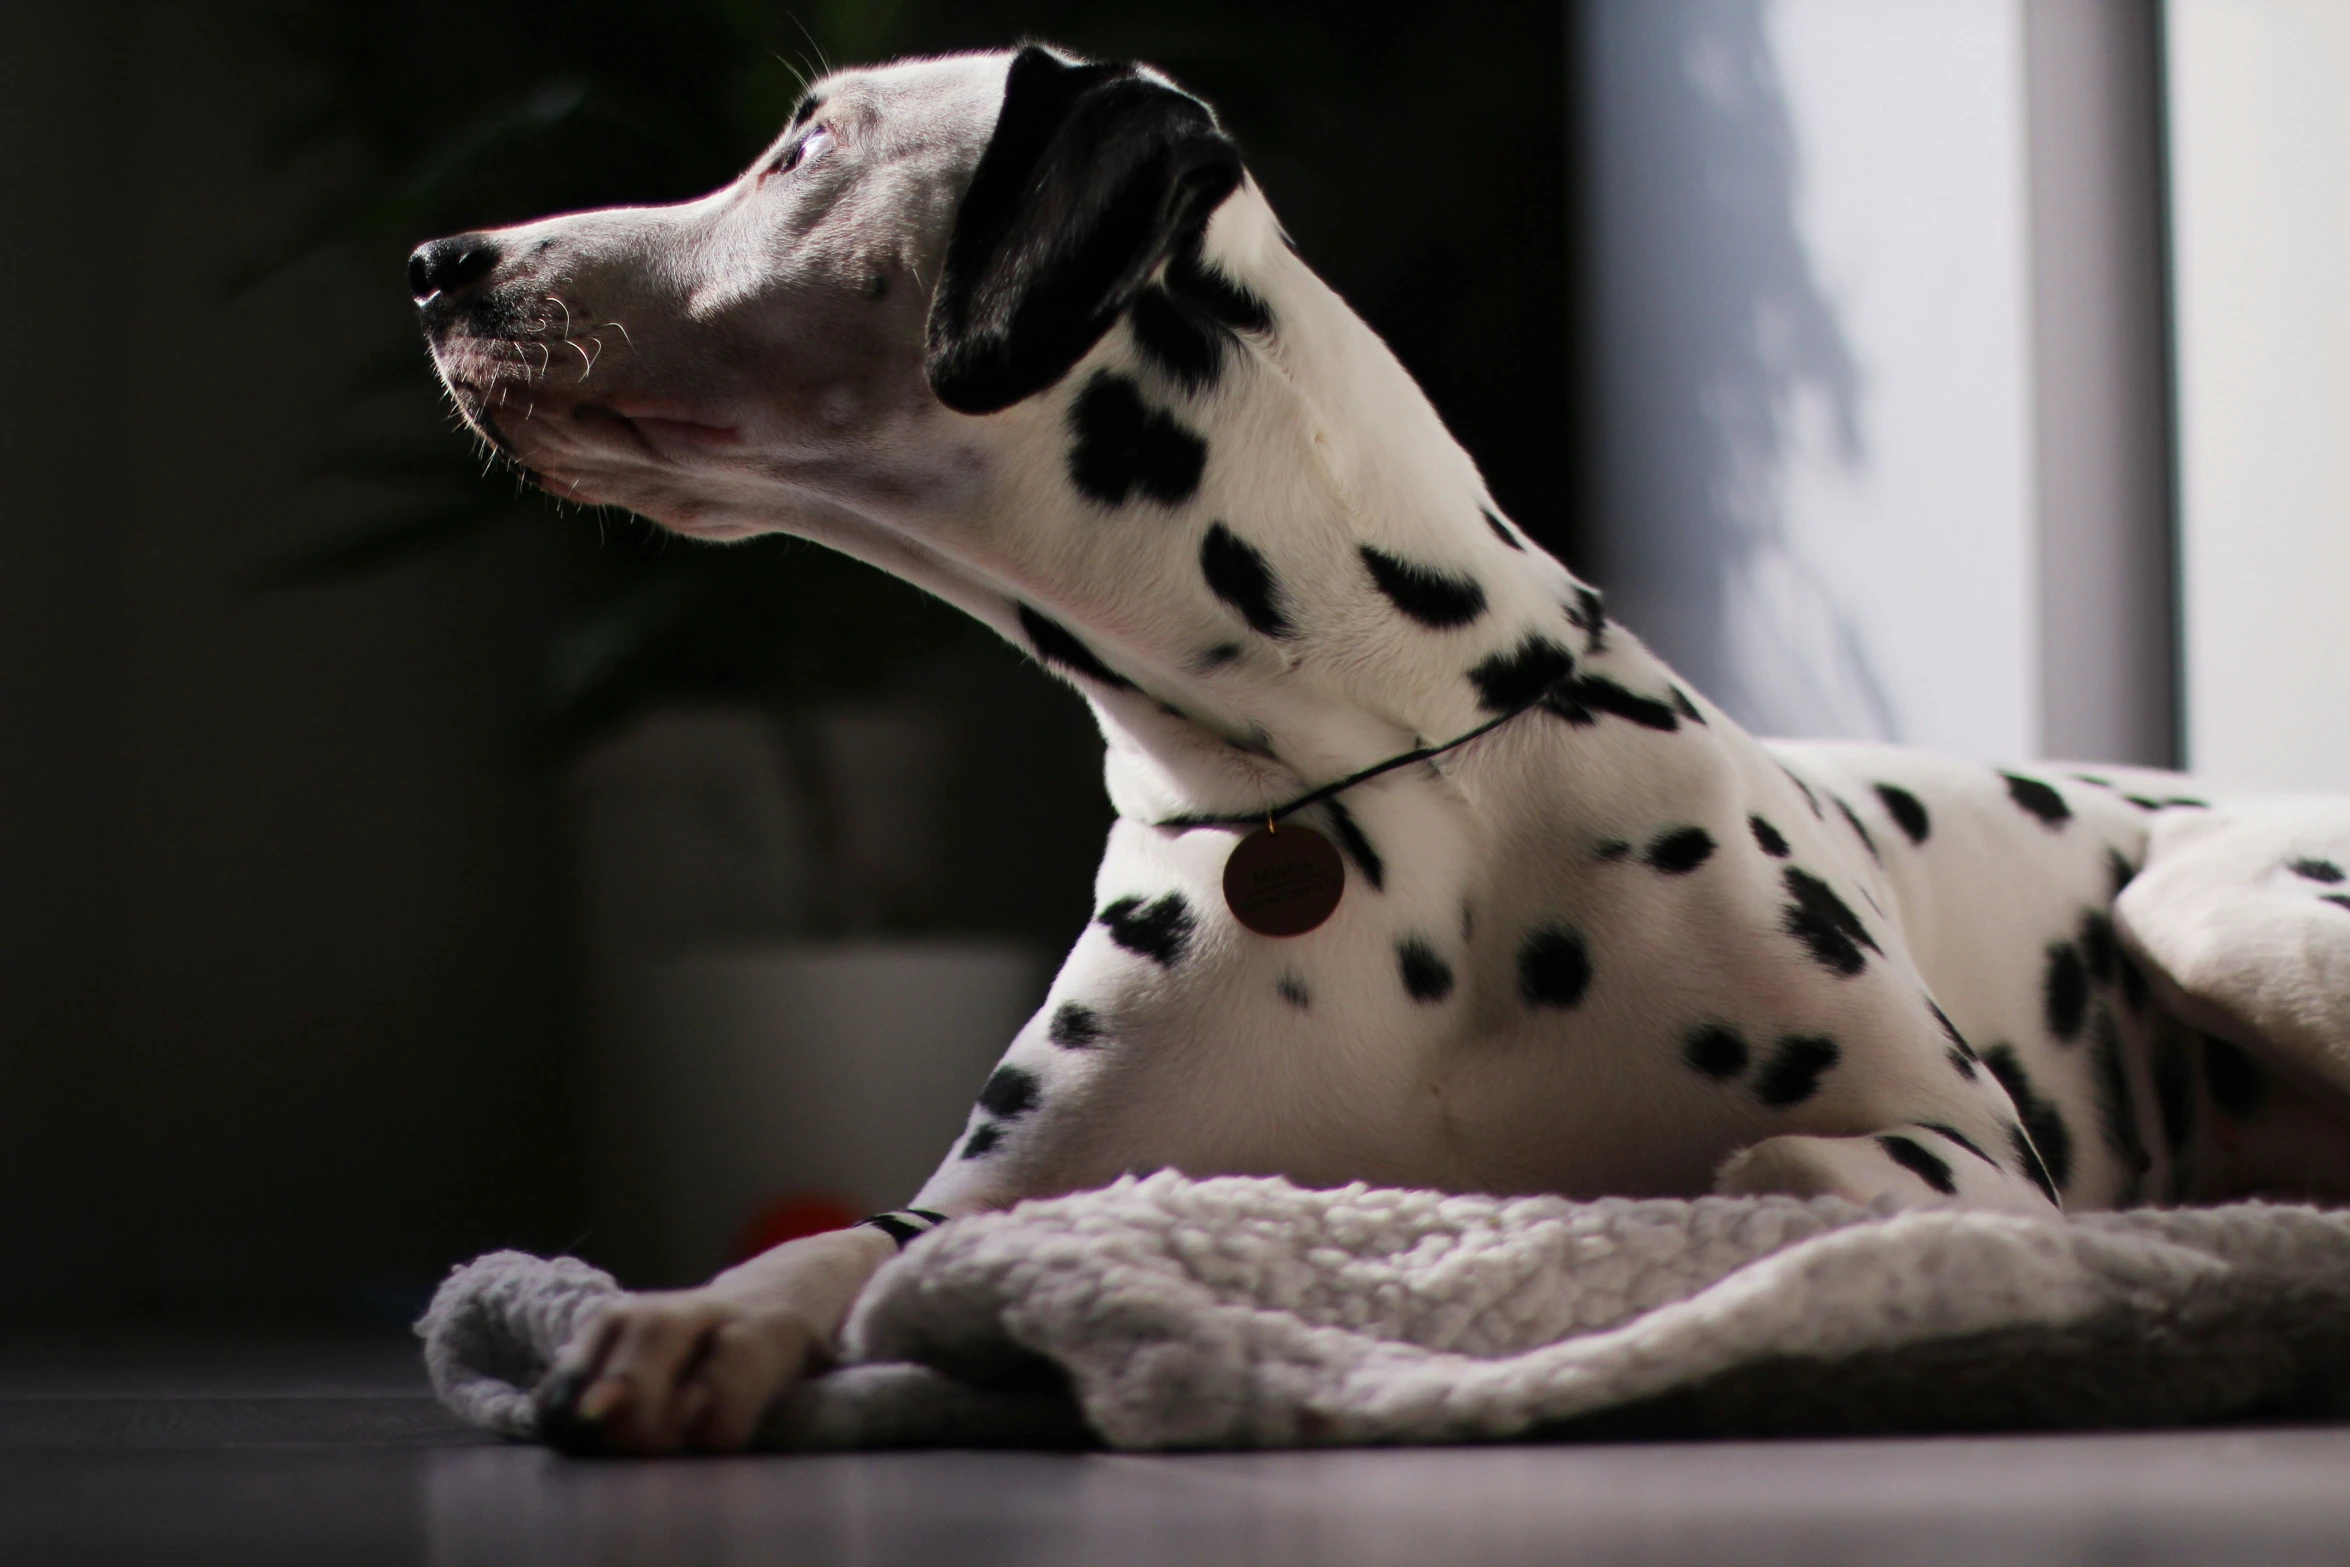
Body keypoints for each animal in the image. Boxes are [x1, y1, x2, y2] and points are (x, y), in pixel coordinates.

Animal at [413, 39, 2350, 1456]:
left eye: (803, 144)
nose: (441, 263)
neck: (1377, 782)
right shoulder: (1000, 1204)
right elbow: (836, 1248)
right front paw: (692, 1322)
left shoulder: (1973, 1154)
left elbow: (1781, 1172)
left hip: (2218, 907)